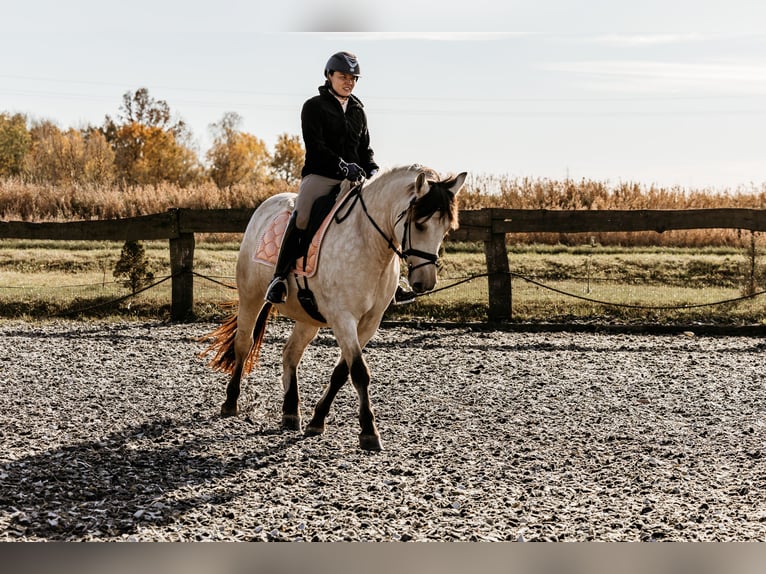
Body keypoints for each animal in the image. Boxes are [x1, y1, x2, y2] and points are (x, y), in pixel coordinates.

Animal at [201, 164, 468, 452]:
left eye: (446, 228)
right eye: (419, 224)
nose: (424, 283)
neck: (368, 242)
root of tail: (267, 204)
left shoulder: (369, 323)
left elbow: (343, 371)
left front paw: (317, 420)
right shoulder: (343, 318)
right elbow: (359, 372)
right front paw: (369, 432)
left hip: (308, 317)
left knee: (290, 353)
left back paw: (291, 412)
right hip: (251, 296)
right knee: (244, 343)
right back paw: (231, 403)